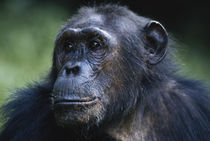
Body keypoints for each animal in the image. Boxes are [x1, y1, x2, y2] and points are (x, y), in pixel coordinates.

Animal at [0, 4, 209, 141]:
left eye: (94, 45)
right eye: (68, 46)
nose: (71, 68)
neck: (125, 118)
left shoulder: (197, 105)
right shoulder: (26, 116)